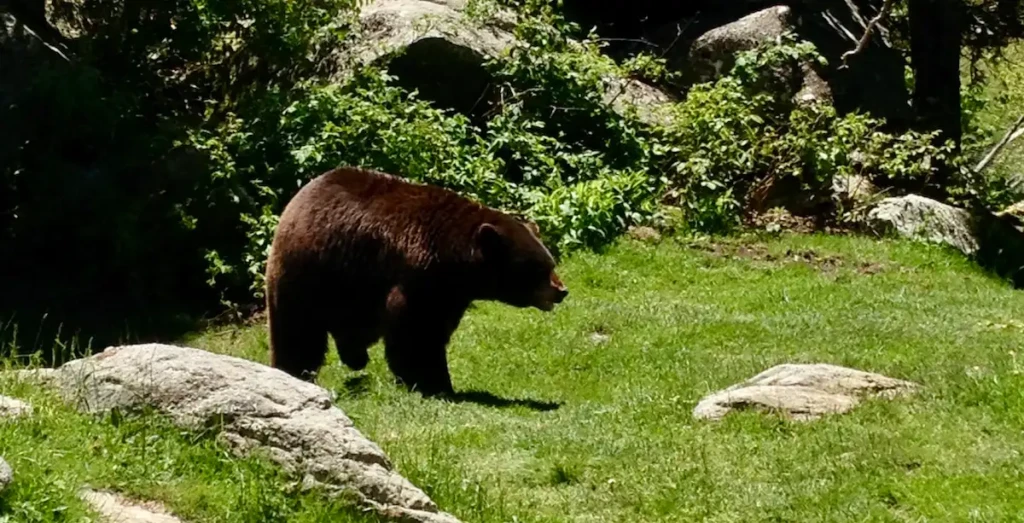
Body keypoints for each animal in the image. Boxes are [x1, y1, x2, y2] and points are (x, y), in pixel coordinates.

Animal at [264, 166, 569, 397]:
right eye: (540, 269)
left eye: (550, 263)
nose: (561, 290)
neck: (457, 263)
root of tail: (296, 201)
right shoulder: (417, 281)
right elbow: (418, 333)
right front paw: (434, 382)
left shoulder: (450, 295)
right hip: (309, 275)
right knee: (299, 331)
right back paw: (294, 372)